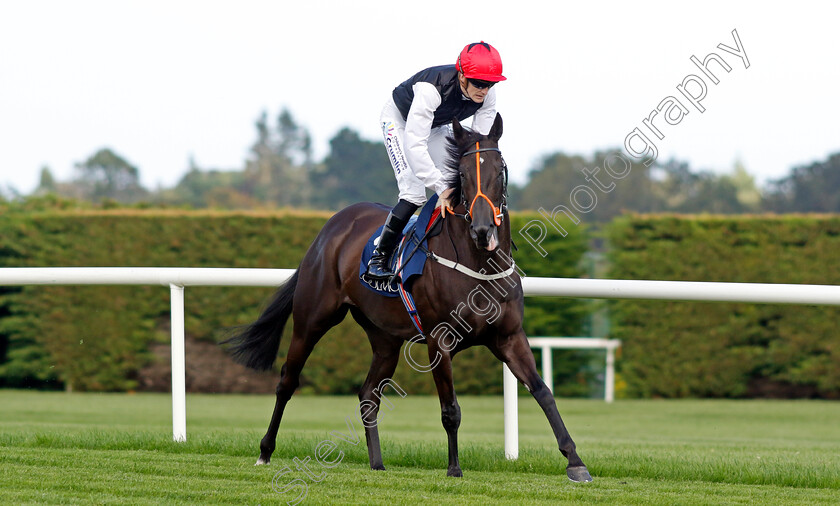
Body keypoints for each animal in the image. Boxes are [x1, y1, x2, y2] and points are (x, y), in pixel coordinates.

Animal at [223, 113, 592, 482]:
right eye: (462, 174)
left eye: (500, 170)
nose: (483, 229)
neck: (479, 265)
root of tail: (330, 229)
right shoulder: (440, 341)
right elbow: (450, 409)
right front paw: (454, 468)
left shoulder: (509, 337)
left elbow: (543, 392)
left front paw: (575, 461)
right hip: (312, 319)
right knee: (287, 380)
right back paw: (265, 452)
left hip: (384, 337)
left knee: (368, 395)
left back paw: (377, 462)